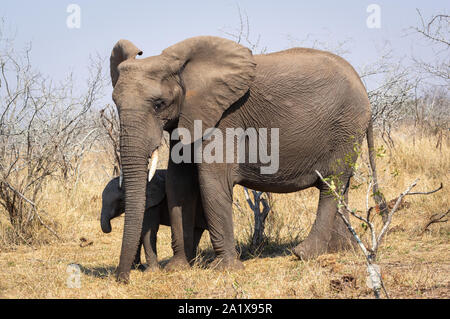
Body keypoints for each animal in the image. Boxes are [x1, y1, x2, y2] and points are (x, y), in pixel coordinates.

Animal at [110, 36, 384, 284]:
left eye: (159, 104)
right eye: (115, 103)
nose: (124, 279)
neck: (183, 68)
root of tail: (362, 86)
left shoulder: (225, 118)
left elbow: (212, 179)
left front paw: (227, 270)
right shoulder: (188, 115)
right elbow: (179, 183)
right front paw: (177, 268)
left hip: (346, 125)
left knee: (330, 184)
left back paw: (303, 254)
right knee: (342, 185)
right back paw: (342, 250)